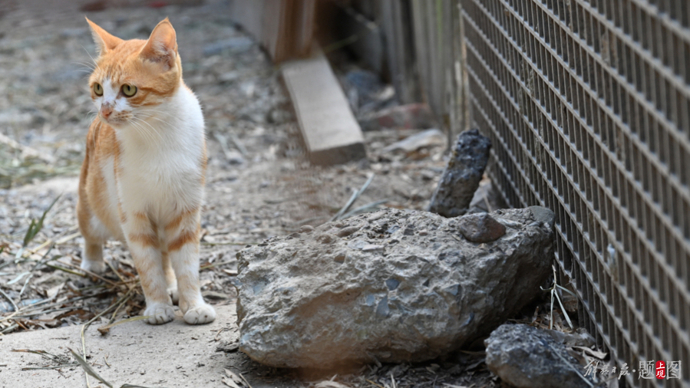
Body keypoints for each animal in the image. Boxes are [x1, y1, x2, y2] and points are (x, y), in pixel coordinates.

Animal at [77, 18, 215, 326]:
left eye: (129, 90)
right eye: (98, 89)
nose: (105, 111)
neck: (157, 135)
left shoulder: (186, 212)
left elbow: (187, 265)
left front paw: (193, 304)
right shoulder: (135, 216)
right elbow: (148, 267)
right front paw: (158, 307)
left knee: (165, 257)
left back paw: (173, 286)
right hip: (92, 207)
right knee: (91, 235)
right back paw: (92, 263)